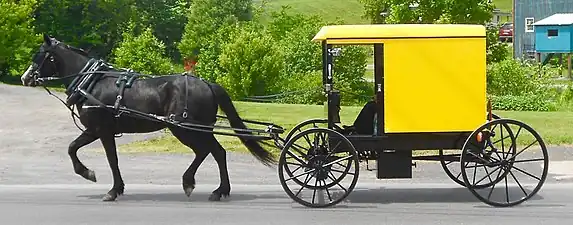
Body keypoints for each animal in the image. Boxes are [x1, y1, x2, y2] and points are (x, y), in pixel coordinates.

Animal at [20, 33, 274, 202]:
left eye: (40, 56)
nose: (25, 78)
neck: (92, 82)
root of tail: (207, 84)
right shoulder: (100, 131)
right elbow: (81, 150)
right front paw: (106, 182)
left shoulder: (100, 130)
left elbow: (95, 155)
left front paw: (101, 182)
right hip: (191, 128)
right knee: (211, 152)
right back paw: (209, 187)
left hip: (186, 128)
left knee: (213, 151)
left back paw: (207, 187)